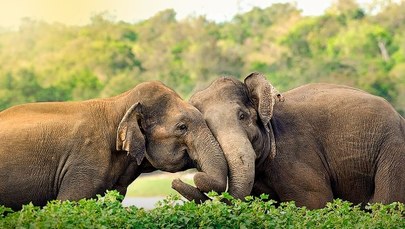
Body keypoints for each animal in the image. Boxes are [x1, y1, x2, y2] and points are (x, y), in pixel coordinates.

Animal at [176, 72, 404, 208]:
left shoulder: (296, 156)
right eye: (208, 128)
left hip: (393, 150)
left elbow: (315, 203)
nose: (178, 181)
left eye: (242, 116)